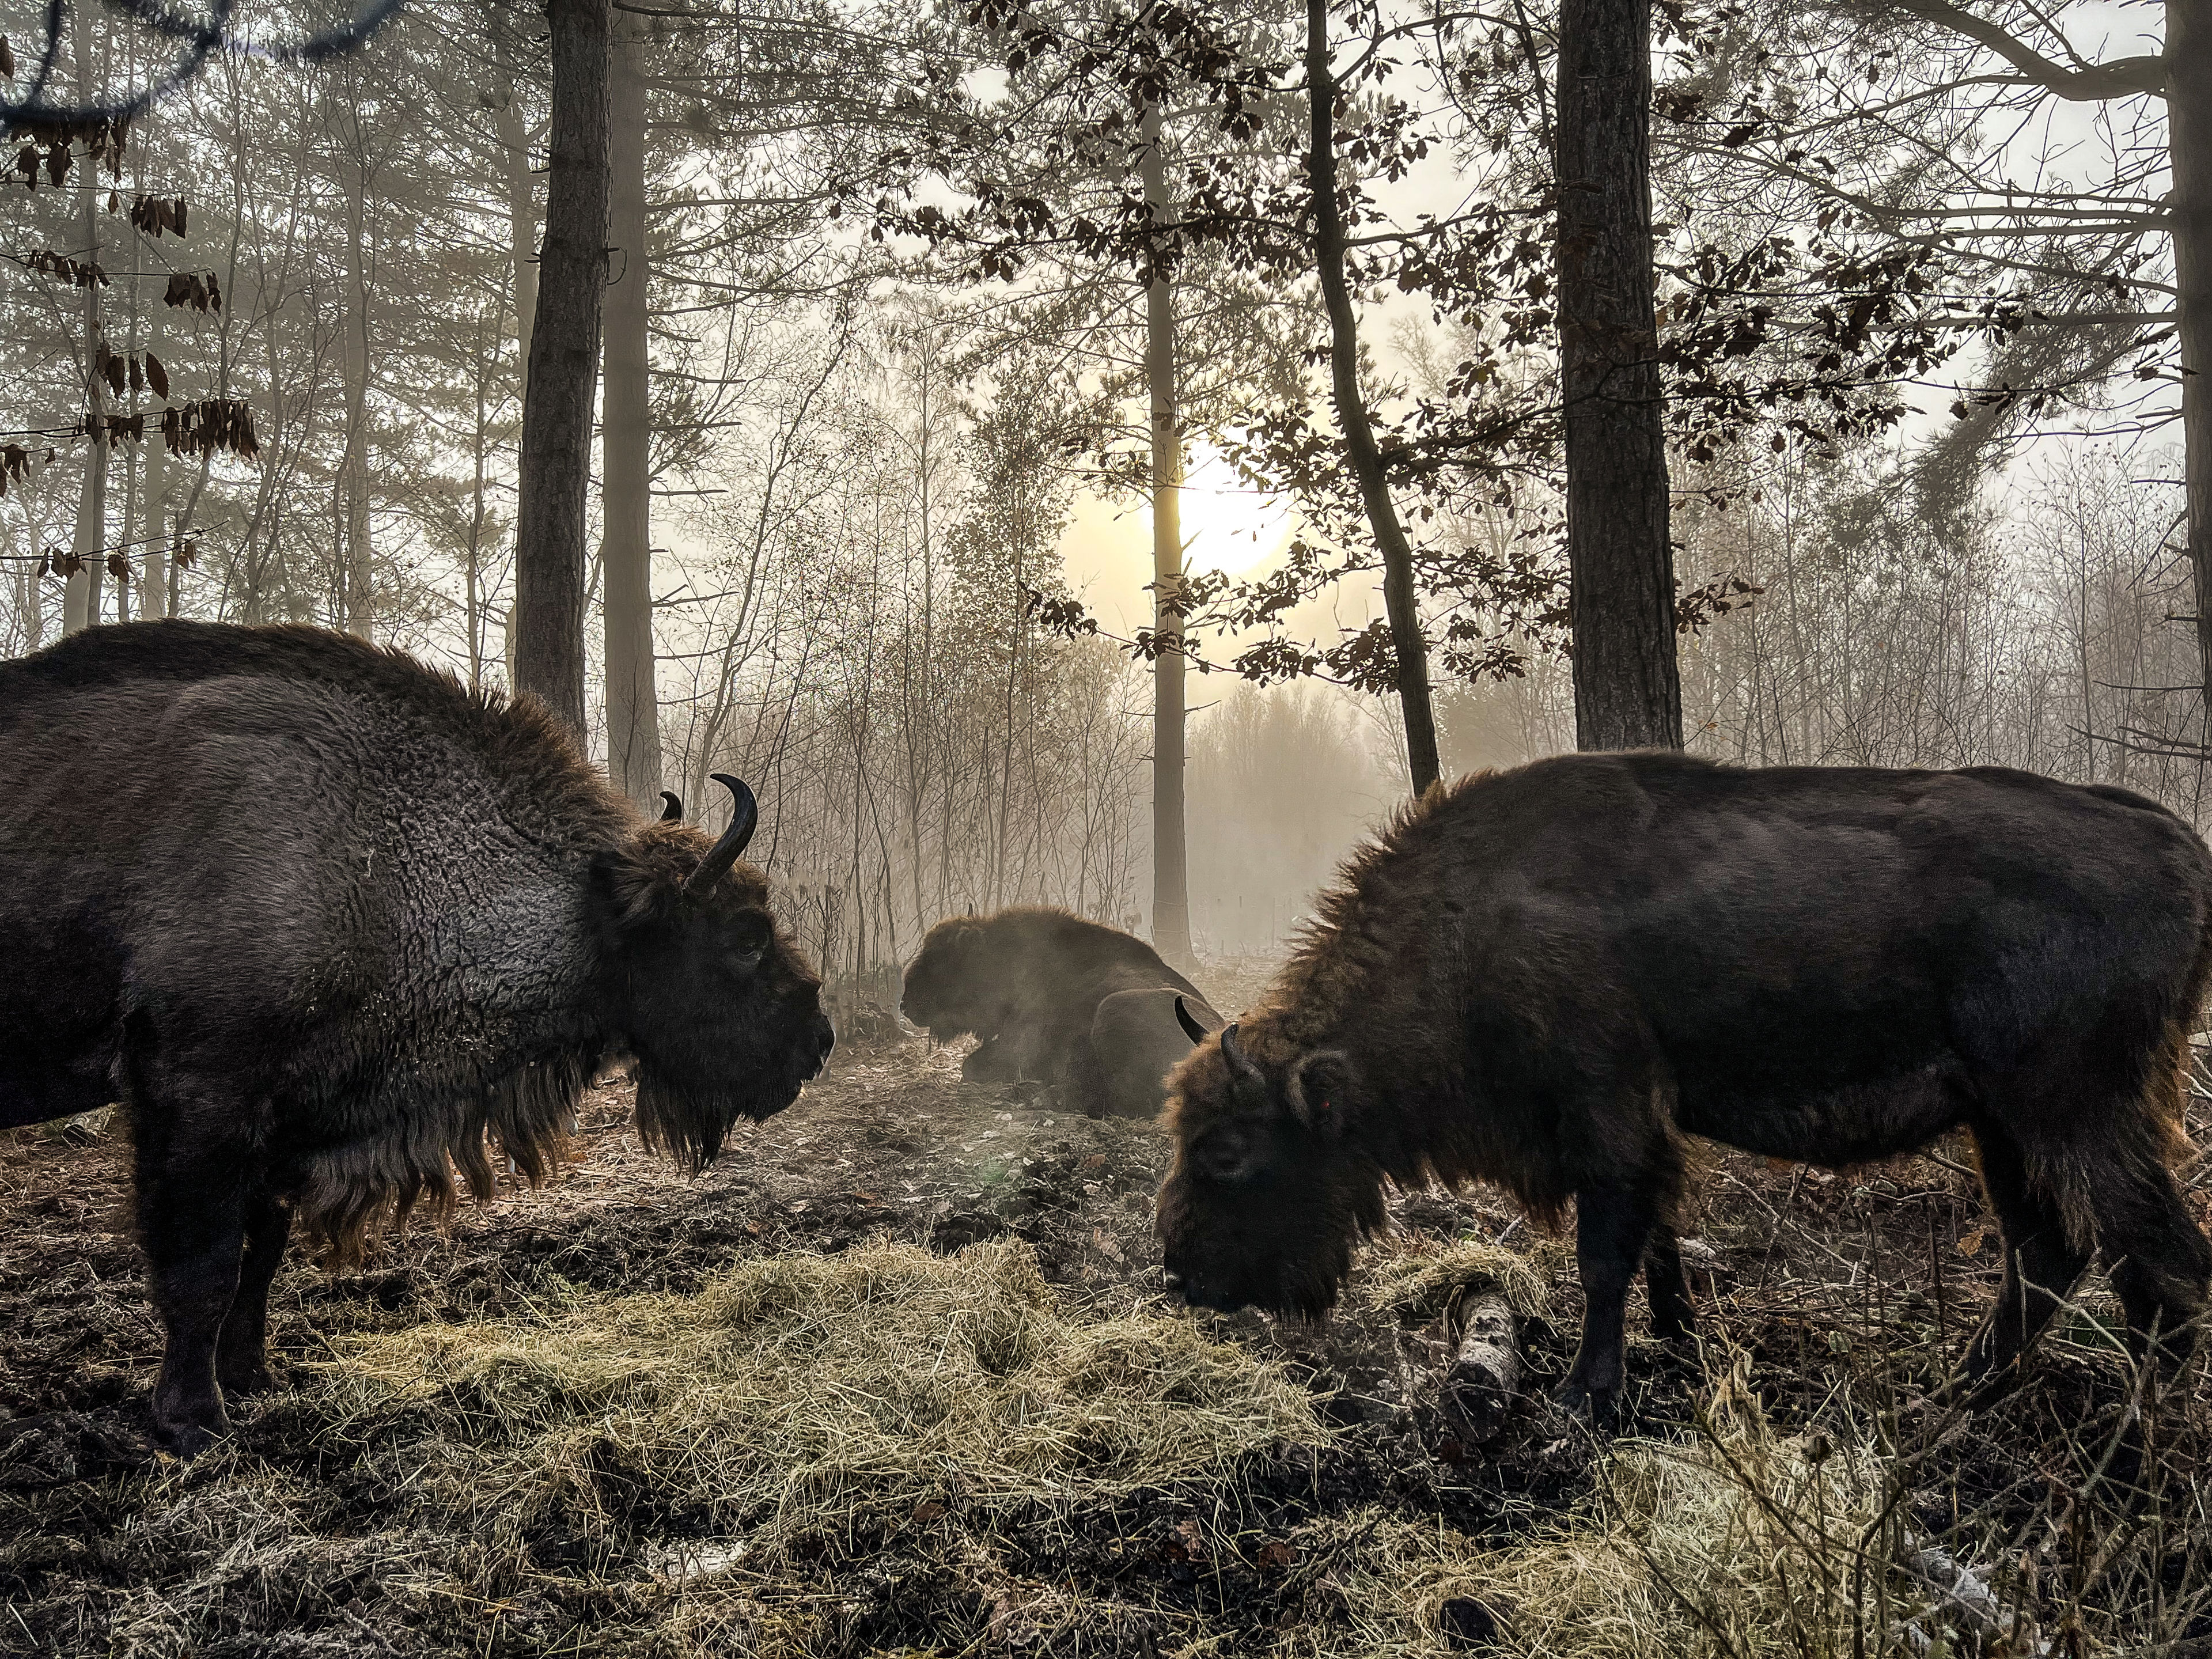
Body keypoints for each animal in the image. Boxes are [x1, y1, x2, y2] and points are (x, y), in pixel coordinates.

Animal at [0, 620, 834, 1452]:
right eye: (746, 935)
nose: (818, 1041)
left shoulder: (278, 1121)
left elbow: (259, 1253)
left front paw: (252, 1378)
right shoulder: (196, 1097)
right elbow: (201, 1268)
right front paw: (194, 1421)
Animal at [901, 907, 1222, 1118]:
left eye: (941, 959)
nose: (904, 1004)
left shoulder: (1017, 1048)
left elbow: (970, 1066)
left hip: (1113, 1008)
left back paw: (1038, 1096)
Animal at [1158, 752, 2212, 1418]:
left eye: (1229, 1151)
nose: (1182, 1273)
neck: (1467, 930)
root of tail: (2177, 843)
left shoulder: (1608, 1117)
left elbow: (1604, 1256)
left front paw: (1586, 1394)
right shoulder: (1643, 1134)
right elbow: (1657, 1245)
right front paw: (1678, 1345)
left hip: (2074, 1111)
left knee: (2159, 1265)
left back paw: (2133, 1446)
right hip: (2003, 1123)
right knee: (2051, 1252)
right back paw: (1956, 1396)